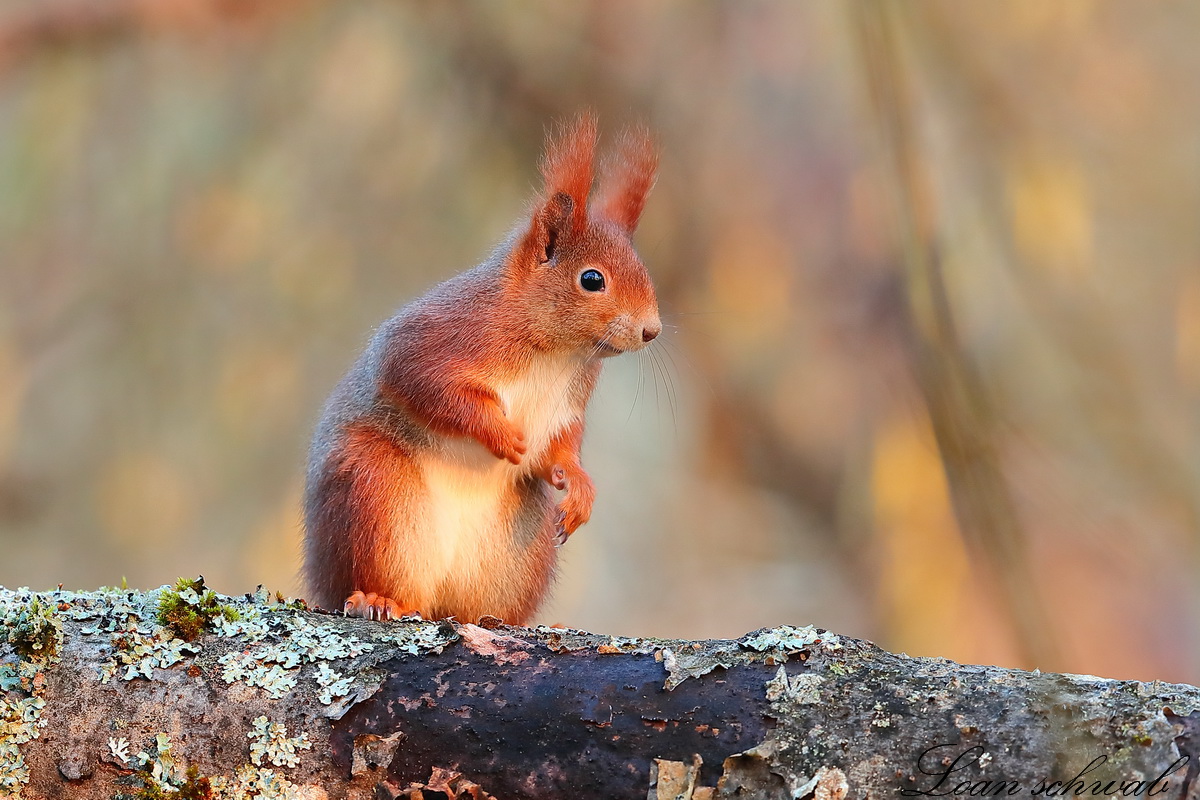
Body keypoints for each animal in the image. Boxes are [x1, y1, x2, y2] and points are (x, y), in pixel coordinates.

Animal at [300, 113, 657, 623]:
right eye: (592, 279)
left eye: (644, 270)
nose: (653, 330)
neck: (557, 352)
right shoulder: (441, 334)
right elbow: (422, 381)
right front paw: (500, 433)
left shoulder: (569, 402)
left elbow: (561, 446)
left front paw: (579, 486)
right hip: (375, 494)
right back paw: (378, 599)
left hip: (519, 547)